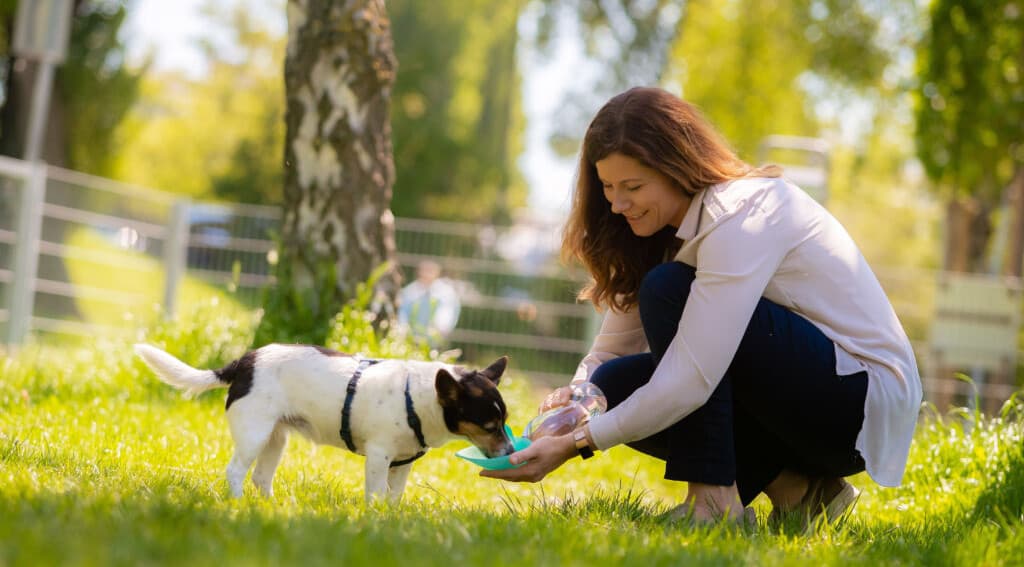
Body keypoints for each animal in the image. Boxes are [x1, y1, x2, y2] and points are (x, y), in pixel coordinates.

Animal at [136, 341, 516, 501]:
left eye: (505, 423)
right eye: (489, 427)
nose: (511, 450)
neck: (416, 398)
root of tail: (244, 362)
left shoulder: (402, 464)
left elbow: (394, 497)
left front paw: (391, 521)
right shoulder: (378, 458)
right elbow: (375, 495)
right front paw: (374, 521)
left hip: (276, 438)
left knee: (261, 477)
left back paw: (270, 508)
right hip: (254, 433)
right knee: (236, 471)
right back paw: (238, 502)